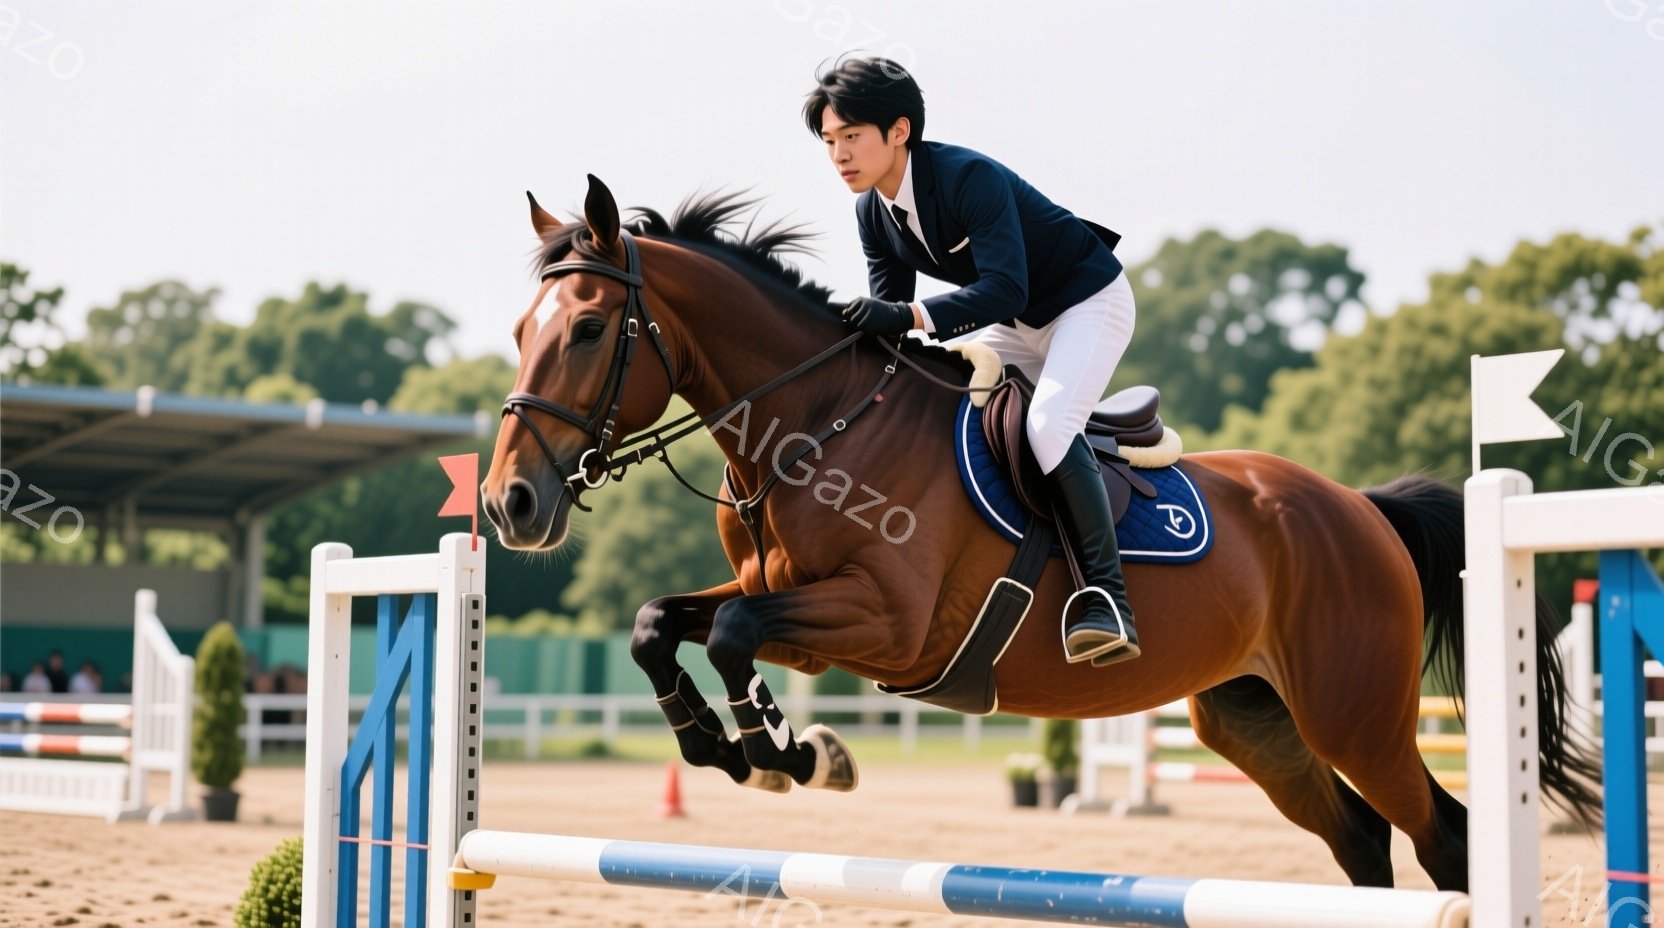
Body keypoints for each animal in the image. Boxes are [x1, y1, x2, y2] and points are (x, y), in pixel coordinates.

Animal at [480, 175, 1599, 892]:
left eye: (589, 328)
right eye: (520, 330)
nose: (508, 505)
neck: (815, 423)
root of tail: (1359, 506)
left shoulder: (886, 625)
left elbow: (727, 635)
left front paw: (787, 751)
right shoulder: (791, 602)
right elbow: (658, 624)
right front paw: (748, 751)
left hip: (1351, 714)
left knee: (1442, 838)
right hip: (1252, 719)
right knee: (1362, 842)